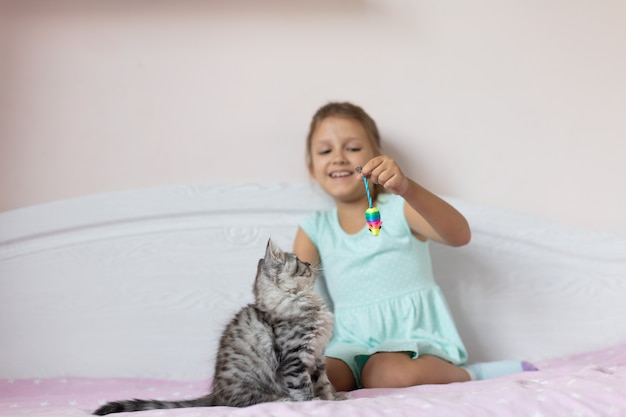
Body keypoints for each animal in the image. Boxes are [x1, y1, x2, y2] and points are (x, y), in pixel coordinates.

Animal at [92, 237, 342, 412]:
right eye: (298, 262)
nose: (309, 262)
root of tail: (216, 393)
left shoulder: (317, 356)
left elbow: (324, 383)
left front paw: (334, 398)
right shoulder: (294, 360)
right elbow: (303, 389)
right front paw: (314, 404)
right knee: (248, 402)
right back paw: (281, 398)